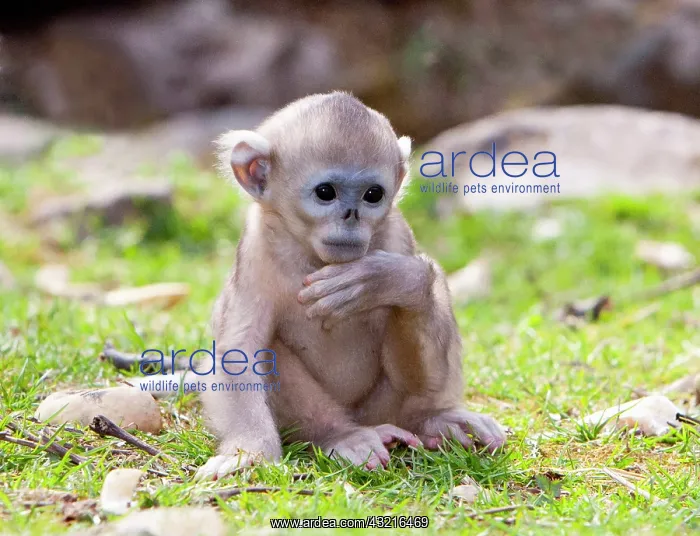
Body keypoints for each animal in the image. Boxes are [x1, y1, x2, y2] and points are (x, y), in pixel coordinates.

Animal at [195, 91, 506, 480]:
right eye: (325, 192)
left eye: (372, 195)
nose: (351, 217)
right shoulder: (256, 251)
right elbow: (240, 351)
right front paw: (249, 451)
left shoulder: (397, 235)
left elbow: (415, 291)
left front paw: (383, 280)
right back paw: (342, 435)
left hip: (383, 408)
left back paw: (432, 419)